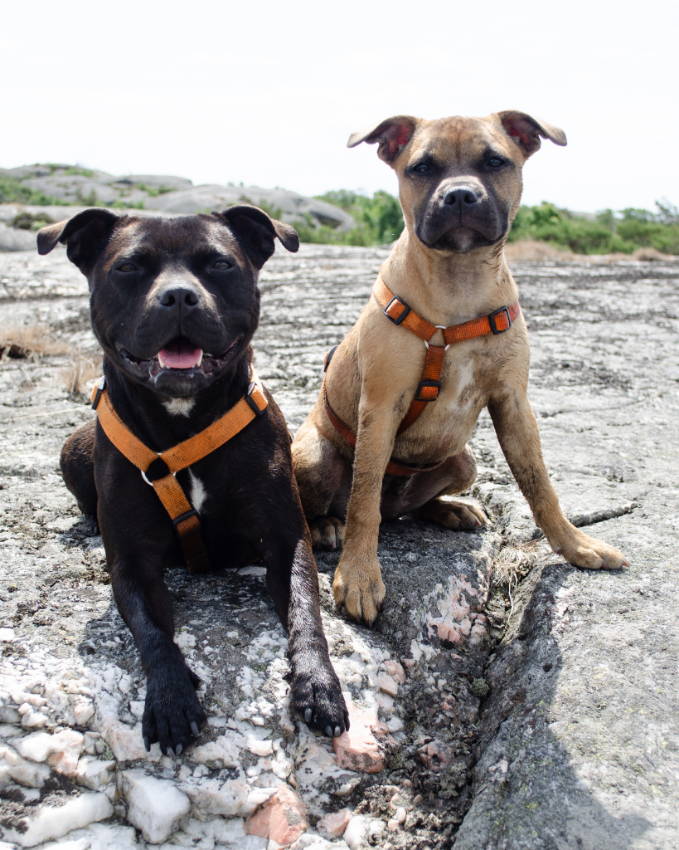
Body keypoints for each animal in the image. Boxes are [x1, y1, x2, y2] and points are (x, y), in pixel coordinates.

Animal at [37, 209, 348, 752]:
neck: (184, 422)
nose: (180, 295)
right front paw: (170, 698)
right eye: (128, 267)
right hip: (72, 450)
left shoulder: (286, 541)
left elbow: (307, 612)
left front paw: (318, 684)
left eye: (220, 264)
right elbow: (152, 633)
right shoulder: (131, 562)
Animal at [292, 111, 628, 624]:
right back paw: (328, 524)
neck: (460, 281)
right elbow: (364, 498)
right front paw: (360, 576)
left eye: (495, 161)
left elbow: (540, 485)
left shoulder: (513, 403)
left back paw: (451, 510)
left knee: (410, 509)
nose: (460, 196)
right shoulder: (381, 406)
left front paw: (575, 545)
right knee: (342, 506)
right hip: (312, 454)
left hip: (464, 461)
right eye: (421, 168)